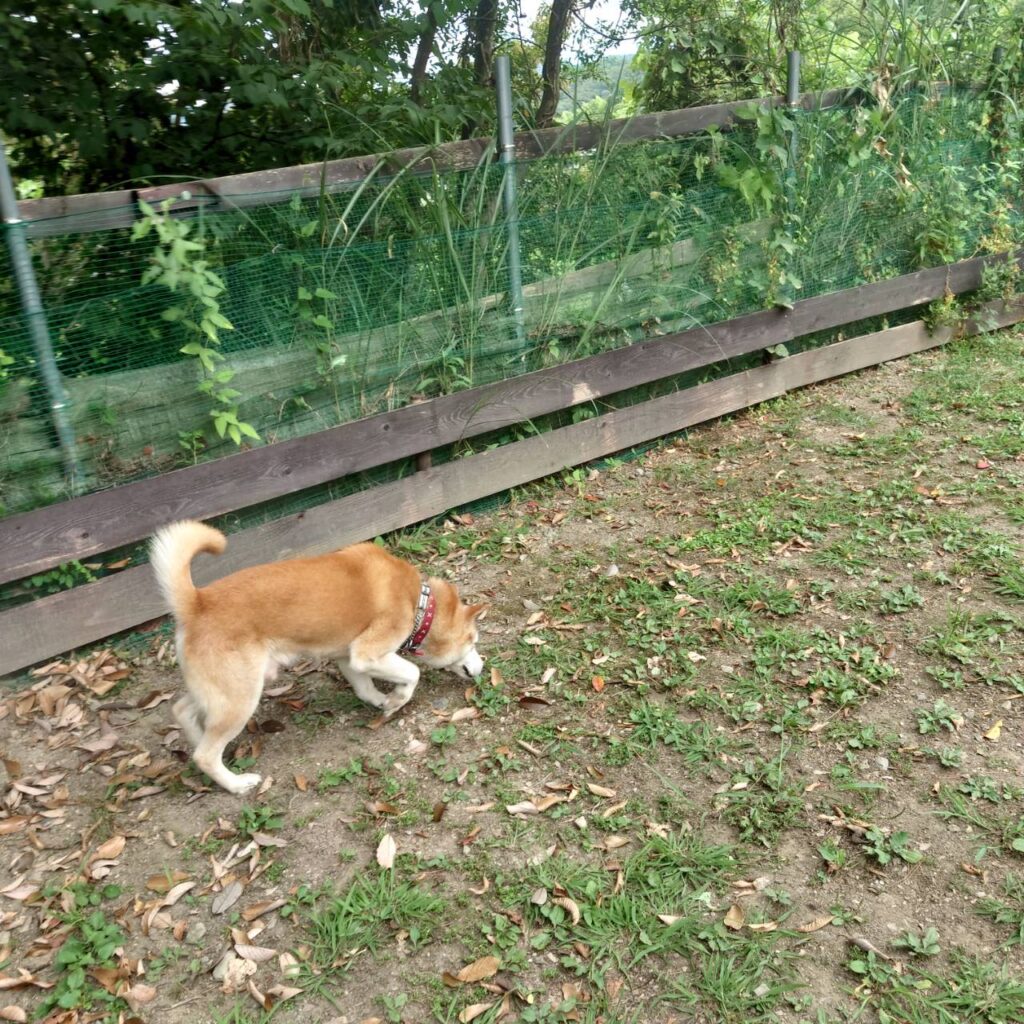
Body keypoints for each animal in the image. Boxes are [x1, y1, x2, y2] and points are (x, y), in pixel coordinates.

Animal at [150, 520, 486, 794]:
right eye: (473, 640)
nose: (482, 667)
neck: (420, 604)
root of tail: (197, 603)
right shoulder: (367, 653)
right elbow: (411, 673)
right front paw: (396, 700)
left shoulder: (348, 658)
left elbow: (365, 688)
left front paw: (382, 701)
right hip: (241, 697)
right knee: (206, 755)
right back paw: (236, 784)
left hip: (225, 690)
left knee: (182, 711)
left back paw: (198, 743)